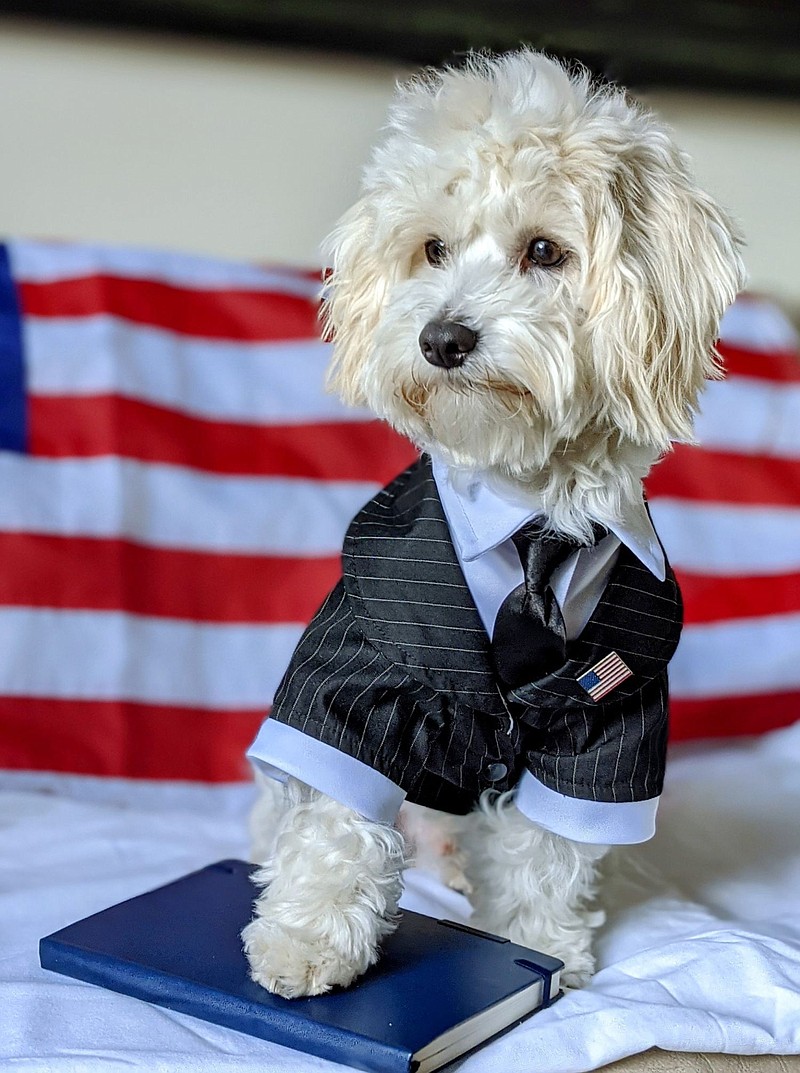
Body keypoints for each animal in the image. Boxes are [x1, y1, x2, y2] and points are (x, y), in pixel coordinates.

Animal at [238, 43, 742, 995]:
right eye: (431, 249)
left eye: (545, 250)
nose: (442, 339)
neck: (531, 510)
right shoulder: (362, 663)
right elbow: (336, 809)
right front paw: (307, 937)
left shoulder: (609, 724)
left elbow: (546, 847)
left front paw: (542, 946)